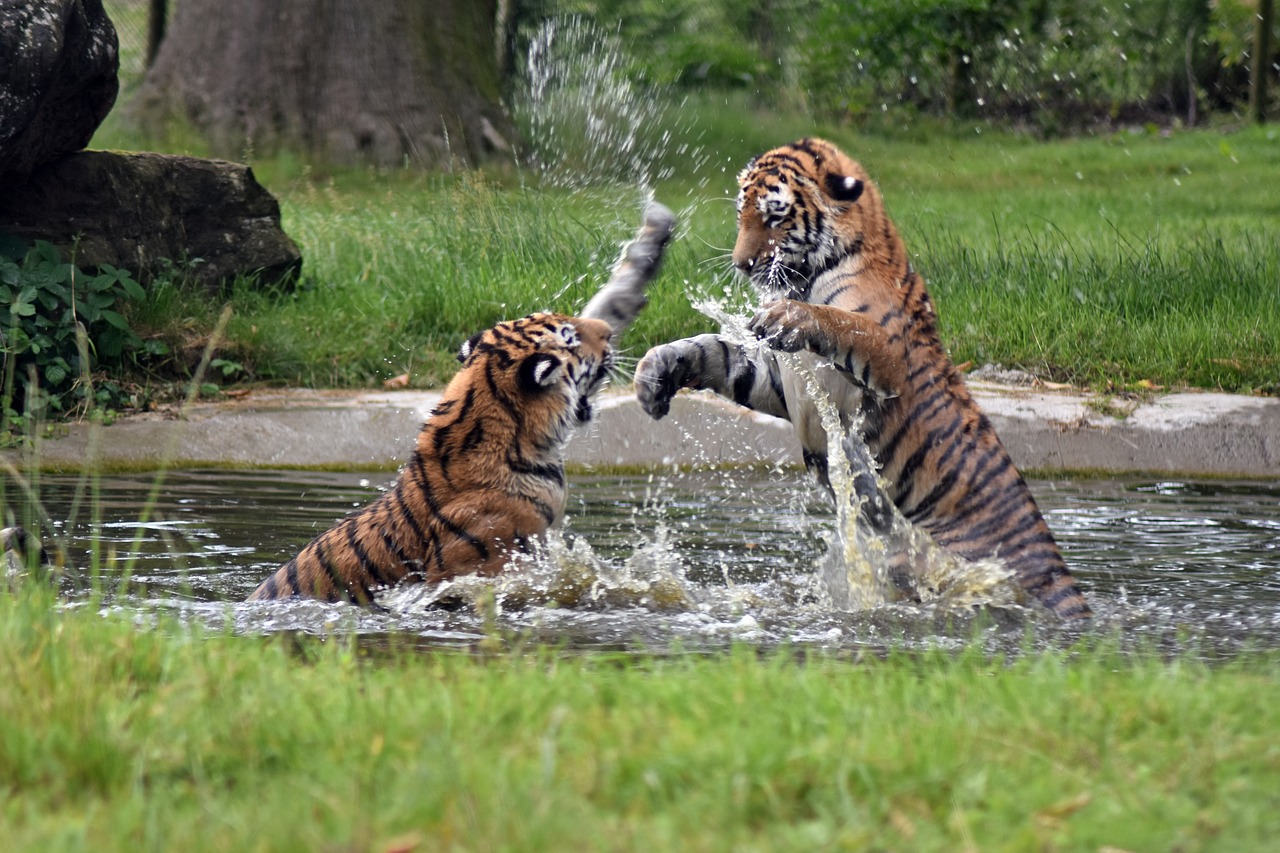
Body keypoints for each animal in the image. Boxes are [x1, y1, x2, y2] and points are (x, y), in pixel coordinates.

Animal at [632, 139, 1090, 617]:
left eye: (774, 216)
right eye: (742, 214)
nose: (742, 264)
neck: (809, 277)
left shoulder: (888, 359)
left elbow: (842, 322)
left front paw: (790, 315)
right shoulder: (773, 379)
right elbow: (712, 350)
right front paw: (655, 372)